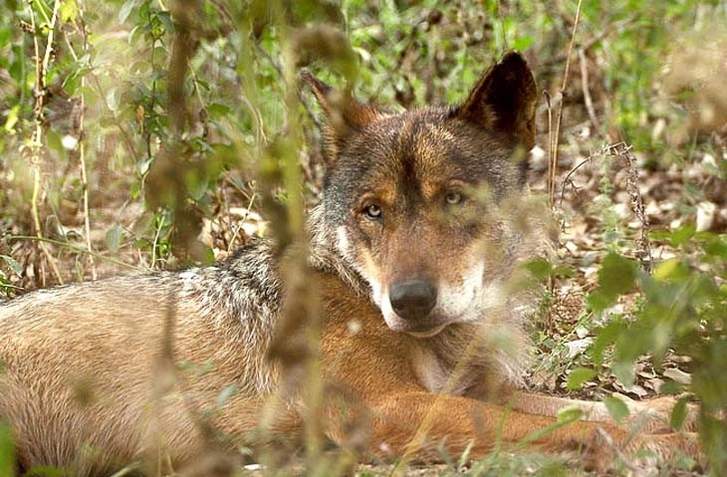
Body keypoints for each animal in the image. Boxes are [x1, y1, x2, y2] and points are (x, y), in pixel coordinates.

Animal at [0, 52, 698, 475]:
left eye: (454, 199)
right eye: (372, 211)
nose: (410, 301)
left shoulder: (470, 390)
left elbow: (585, 407)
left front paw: (677, 413)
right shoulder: (389, 409)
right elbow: (577, 428)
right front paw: (666, 445)